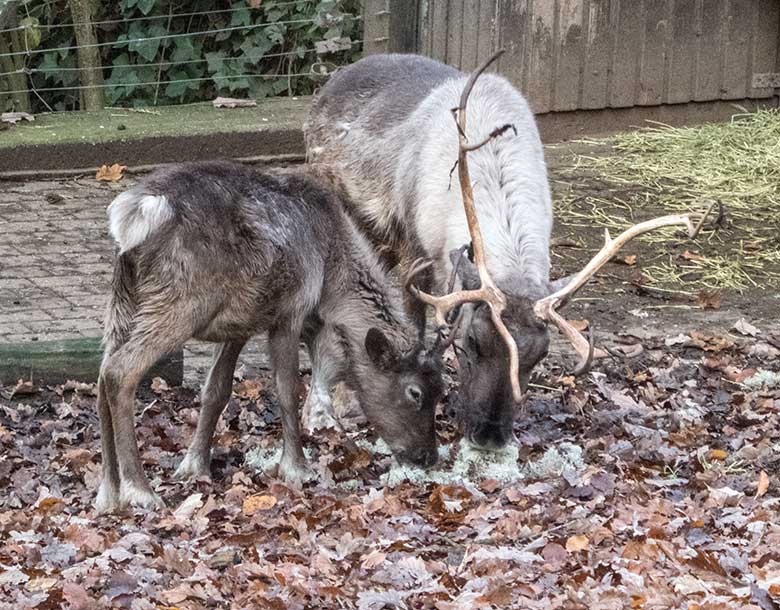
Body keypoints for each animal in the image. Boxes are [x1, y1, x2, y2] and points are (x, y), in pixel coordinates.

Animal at [96, 159, 444, 510]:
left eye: (440, 390)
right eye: (415, 393)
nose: (427, 456)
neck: (332, 274)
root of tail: (135, 213)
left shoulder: (239, 325)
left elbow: (216, 391)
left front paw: (195, 465)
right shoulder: (291, 310)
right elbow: (288, 389)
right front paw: (297, 468)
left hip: (124, 300)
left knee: (102, 373)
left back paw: (109, 490)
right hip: (180, 301)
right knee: (120, 372)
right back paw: (139, 490)